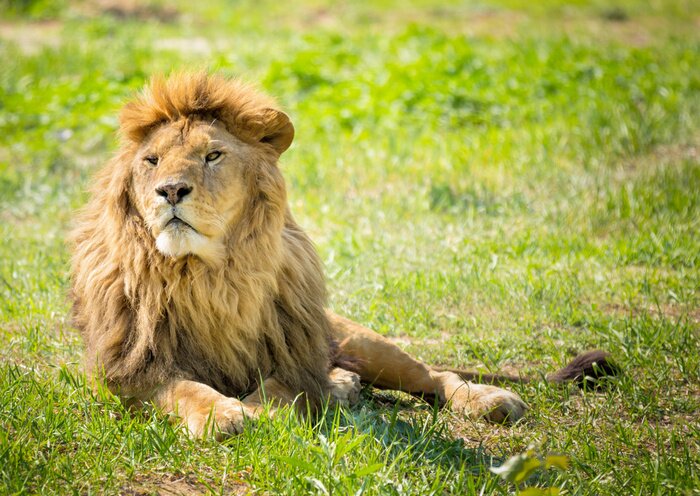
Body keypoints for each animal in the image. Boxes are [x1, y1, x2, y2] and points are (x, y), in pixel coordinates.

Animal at [70, 73, 617, 437]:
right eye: (151, 160)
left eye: (213, 155)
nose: (169, 190)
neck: (205, 274)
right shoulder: (127, 370)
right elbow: (183, 388)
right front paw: (222, 413)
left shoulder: (294, 355)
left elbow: (281, 387)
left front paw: (264, 408)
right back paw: (345, 386)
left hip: (363, 341)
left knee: (435, 376)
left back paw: (488, 400)